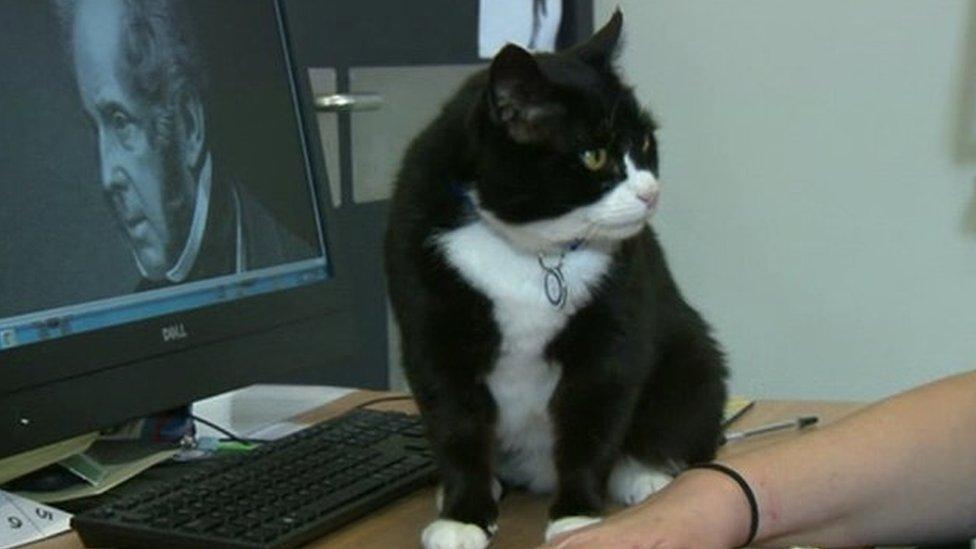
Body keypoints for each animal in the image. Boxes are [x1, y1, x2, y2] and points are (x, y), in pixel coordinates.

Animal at [386, 12, 728, 548]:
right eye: (593, 156)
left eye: (645, 142)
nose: (650, 192)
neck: (532, 253)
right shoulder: (431, 328)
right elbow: (454, 424)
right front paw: (463, 514)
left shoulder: (613, 325)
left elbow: (593, 417)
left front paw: (577, 514)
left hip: (693, 358)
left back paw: (644, 472)